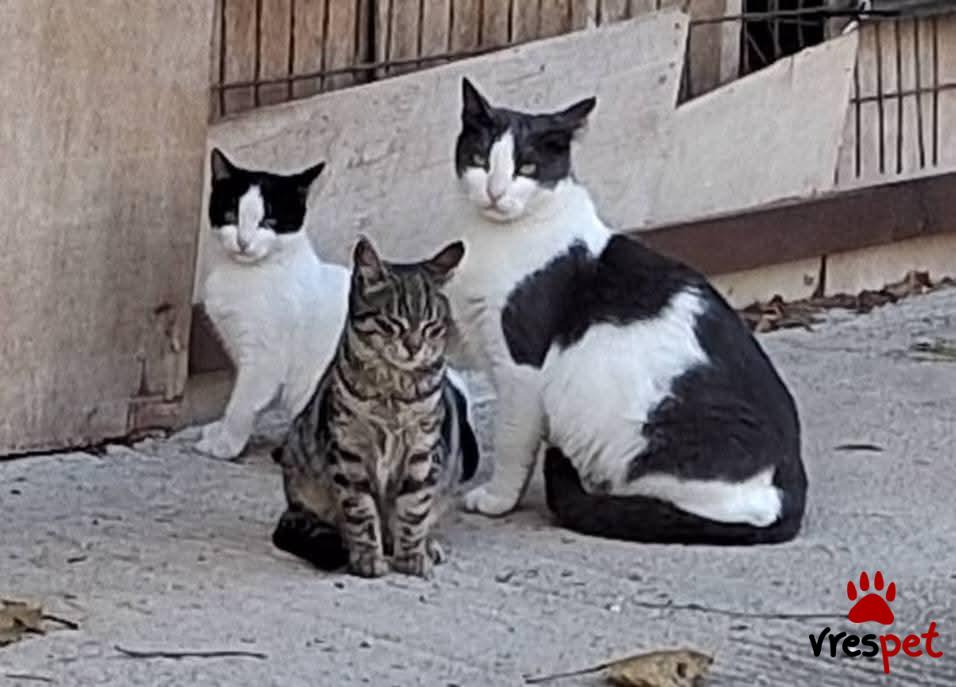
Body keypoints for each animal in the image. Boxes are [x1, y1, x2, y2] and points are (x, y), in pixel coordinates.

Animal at [196, 148, 349, 460]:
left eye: (269, 222)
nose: (243, 241)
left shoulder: (264, 357)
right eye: (231, 216)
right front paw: (220, 431)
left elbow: (241, 404)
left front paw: (226, 445)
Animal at [271, 236, 480, 578]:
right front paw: (368, 558)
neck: (394, 394)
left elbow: (413, 510)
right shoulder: (350, 452)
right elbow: (361, 511)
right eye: (392, 323)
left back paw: (426, 546)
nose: (414, 346)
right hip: (300, 471)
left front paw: (412, 557)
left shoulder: (421, 452)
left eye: (431, 326)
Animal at [447, 78, 807, 544]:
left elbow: (512, 441)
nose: (494, 192)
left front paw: (496, 500)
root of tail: (792, 483)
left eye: (526, 168)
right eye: (479, 160)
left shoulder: (519, 368)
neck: (495, 237)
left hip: (647, 439)